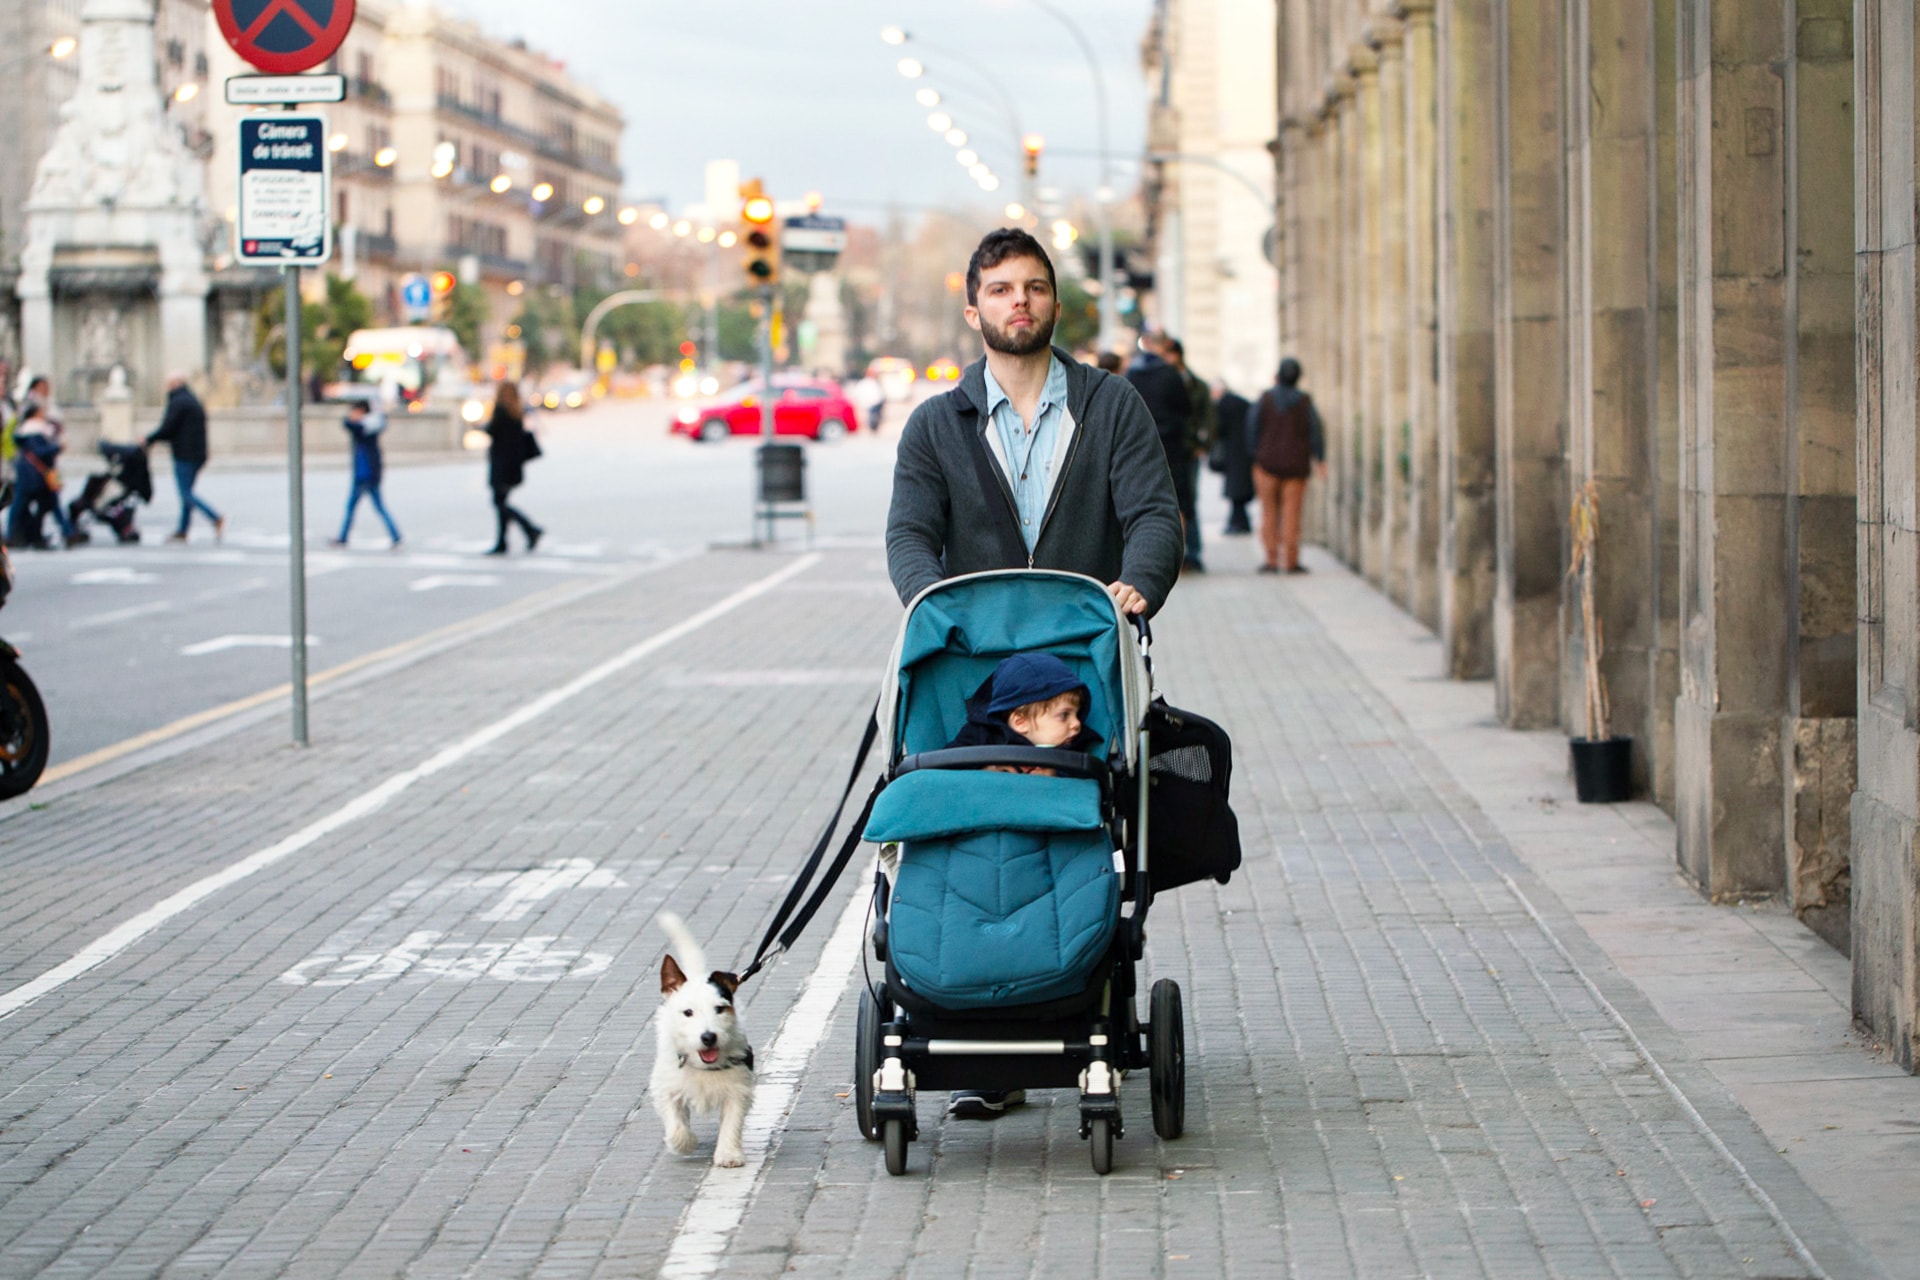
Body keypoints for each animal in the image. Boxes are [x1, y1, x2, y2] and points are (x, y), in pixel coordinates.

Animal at [652, 909, 756, 1174]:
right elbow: (676, 1123)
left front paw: (729, 1154)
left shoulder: (737, 1088)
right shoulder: (667, 1087)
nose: (708, 1037)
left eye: (719, 1009)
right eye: (688, 1012)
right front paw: (683, 1142)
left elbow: (732, 1122)